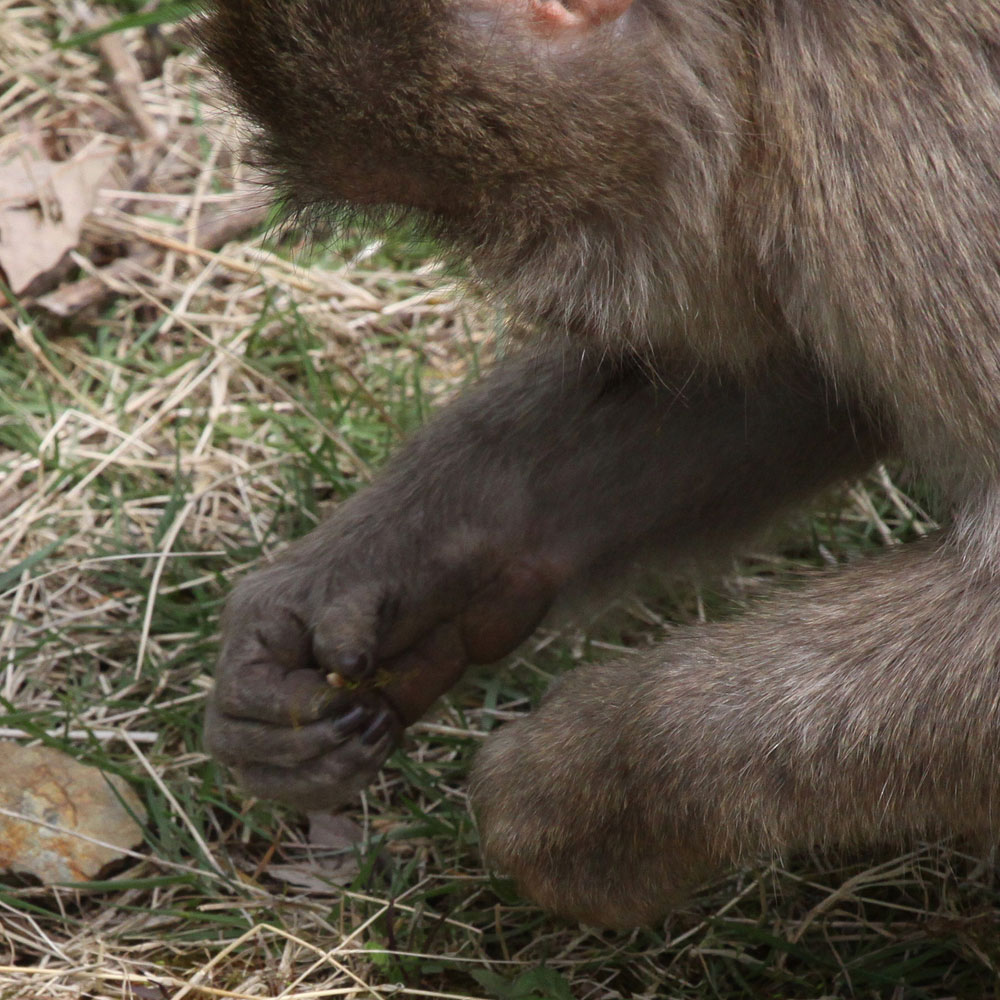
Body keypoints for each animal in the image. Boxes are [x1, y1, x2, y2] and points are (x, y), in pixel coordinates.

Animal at [197, 0, 1000, 924]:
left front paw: (587, 784)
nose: (545, 304)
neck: (756, 47)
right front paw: (368, 572)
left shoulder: (903, 147)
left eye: (484, 215)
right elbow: (786, 373)